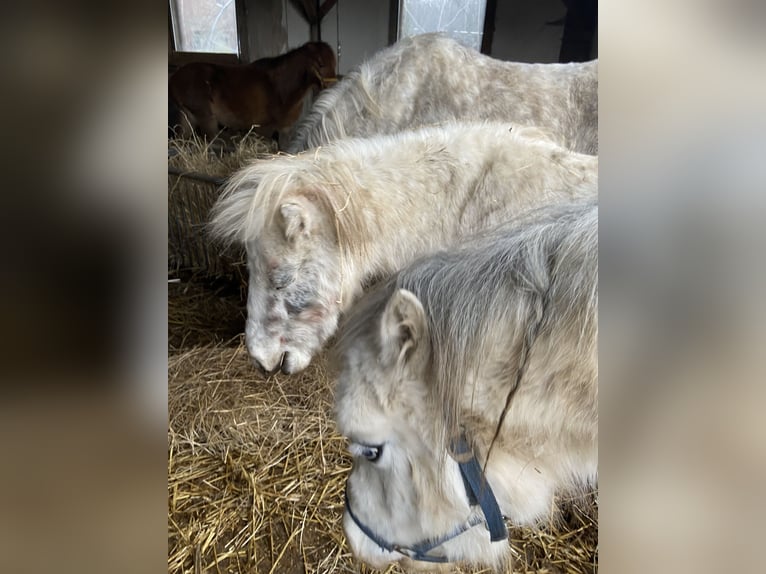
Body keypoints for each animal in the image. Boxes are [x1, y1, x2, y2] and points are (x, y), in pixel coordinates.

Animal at [169, 41, 336, 146]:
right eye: (321, 64)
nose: (332, 86)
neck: (278, 86)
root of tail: (174, 79)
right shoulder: (263, 130)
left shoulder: (285, 129)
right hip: (206, 120)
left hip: (188, 118)